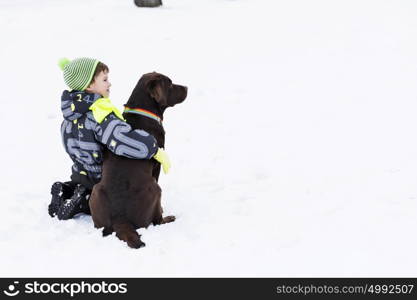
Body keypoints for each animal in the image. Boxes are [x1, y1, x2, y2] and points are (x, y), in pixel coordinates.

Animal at [89, 72, 187, 248]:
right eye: (170, 84)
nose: (187, 88)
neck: (143, 111)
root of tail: (120, 218)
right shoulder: (157, 165)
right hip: (156, 189)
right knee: (157, 221)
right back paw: (168, 218)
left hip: (95, 191)